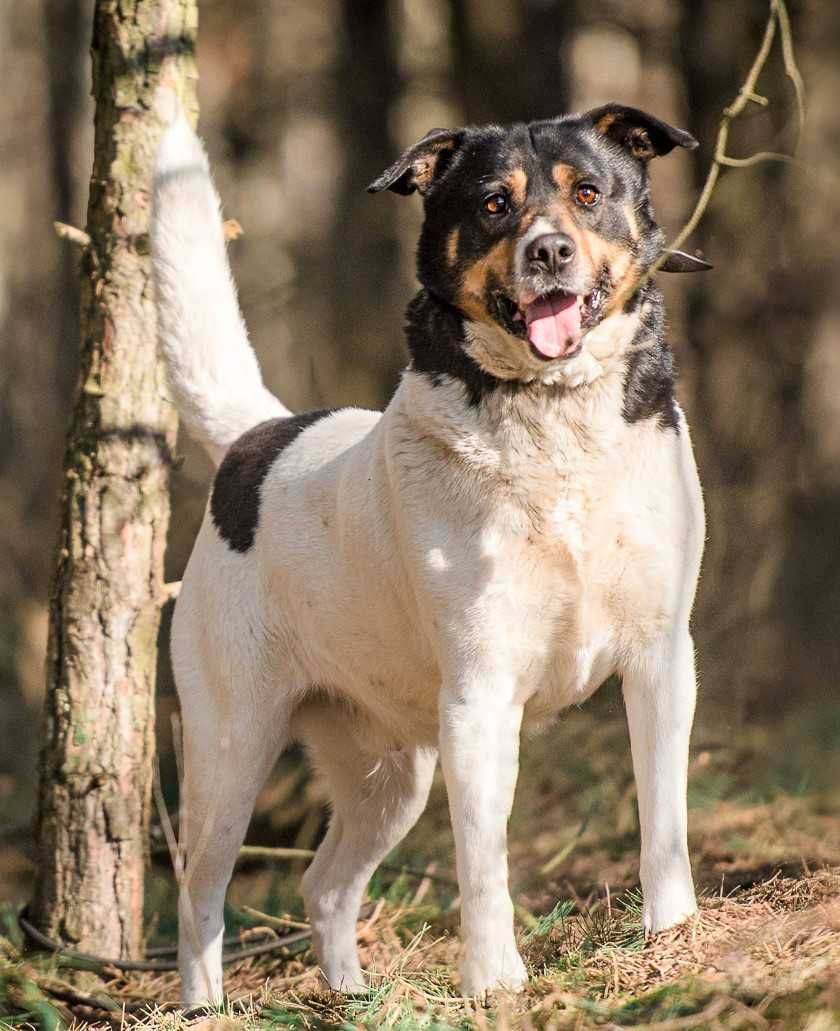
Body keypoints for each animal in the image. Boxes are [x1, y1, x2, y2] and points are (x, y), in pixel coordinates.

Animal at [152, 100, 709, 1002]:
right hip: (233, 744)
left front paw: (672, 935)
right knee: (200, 889)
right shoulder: (479, 695)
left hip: (389, 773)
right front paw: (494, 982)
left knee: (324, 883)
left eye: (589, 193)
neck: (555, 421)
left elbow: (663, 813)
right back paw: (206, 1007)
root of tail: (256, 437)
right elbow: (483, 856)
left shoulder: (661, 658)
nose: (548, 251)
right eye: (493, 203)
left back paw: (351, 995)